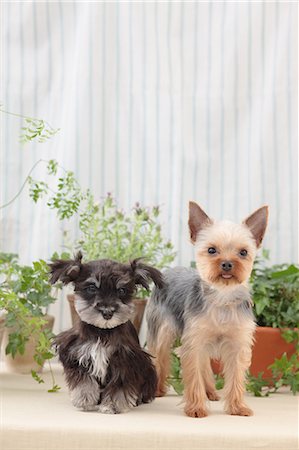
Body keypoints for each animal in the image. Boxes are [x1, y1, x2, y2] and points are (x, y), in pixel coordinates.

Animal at [49, 251, 163, 414]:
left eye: (121, 290)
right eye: (91, 288)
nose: (107, 313)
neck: (102, 331)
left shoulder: (125, 360)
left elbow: (119, 385)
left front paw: (113, 405)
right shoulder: (75, 354)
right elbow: (84, 380)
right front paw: (84, 400)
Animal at [148, 201, 270, 418]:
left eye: (243, 252)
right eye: (212, 250)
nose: (227, 263)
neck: (222, 297)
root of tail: (169, 271)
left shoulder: (237, 344)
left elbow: (235, 376)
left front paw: (237, 407)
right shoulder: (193, 343)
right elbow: (193, 375)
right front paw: (196, 408)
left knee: (204, 363)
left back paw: (211, 392)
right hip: (161, 330)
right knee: (160, 356)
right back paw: (158, 389)